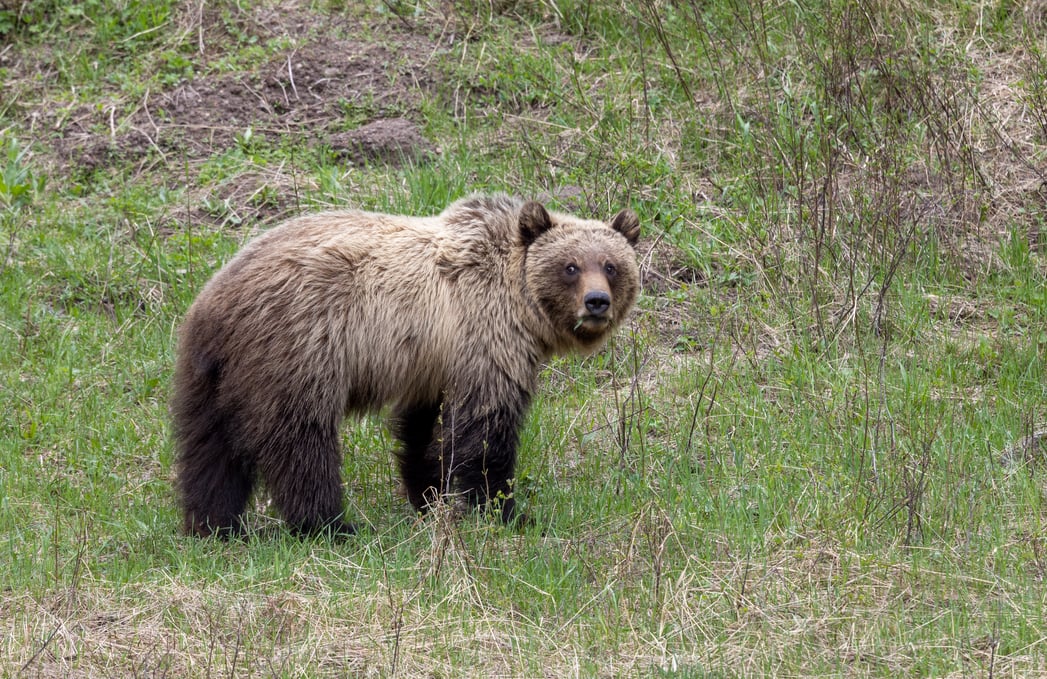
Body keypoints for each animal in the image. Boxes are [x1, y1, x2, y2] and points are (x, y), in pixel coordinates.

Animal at [171, 193, 640, 535]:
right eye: (570, 266)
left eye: (611, 265)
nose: (596, 302)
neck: (518, 300)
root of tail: (215, 303)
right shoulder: (485, 340)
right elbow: (485, 429)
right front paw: (506, 511)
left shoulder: (430, 361)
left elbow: (420, 429)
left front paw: (427, 496)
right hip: (299, 349)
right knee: (300, 442)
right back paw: (330, 525)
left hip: (209, 374)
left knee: (208, 448)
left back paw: (215, 524)